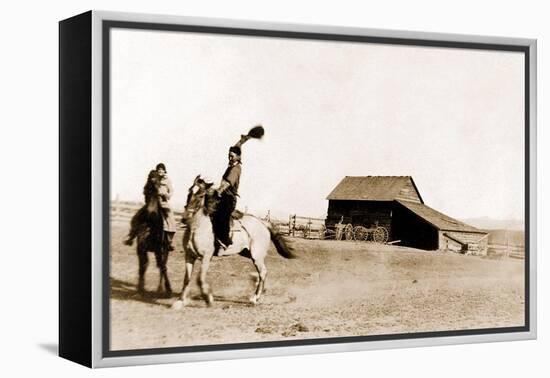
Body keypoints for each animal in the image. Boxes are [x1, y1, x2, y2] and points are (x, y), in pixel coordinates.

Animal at [174, 176, 298, 308]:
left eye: (201, 195)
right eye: (189, 192)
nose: (185, 218)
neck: (197, 228)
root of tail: (263, 223)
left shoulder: (206, 257)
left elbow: (200, 279)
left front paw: (208, 299)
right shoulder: (189, 256)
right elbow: (186, 279)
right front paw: (181, 300)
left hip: (257, 256)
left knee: (263, 272)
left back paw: (255, 298)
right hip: (247, 253)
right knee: (260, 274)